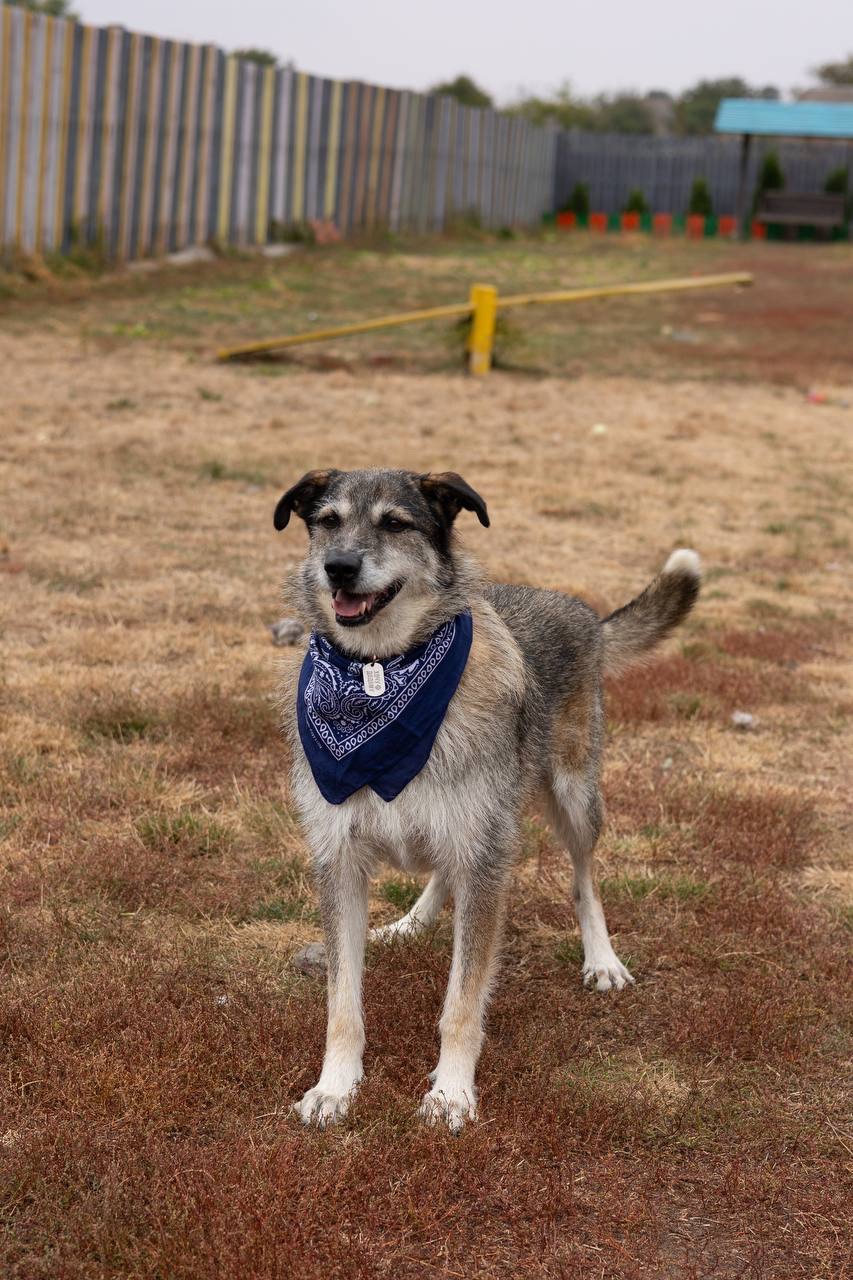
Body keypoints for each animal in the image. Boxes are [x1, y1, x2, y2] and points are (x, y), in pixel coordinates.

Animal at [274, 468, 696, 1131]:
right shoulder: (339, 861)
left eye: (396, 523)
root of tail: (583, 612)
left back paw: (602, 958)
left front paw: (451, 1093)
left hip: (574, 799)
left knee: (584, 880)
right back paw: (411, 922)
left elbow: (463, 1003)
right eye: (327, 521)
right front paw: (335, 1088)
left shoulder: (485, 859)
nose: (338, 567)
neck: (378, 674)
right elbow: (342, 1004)